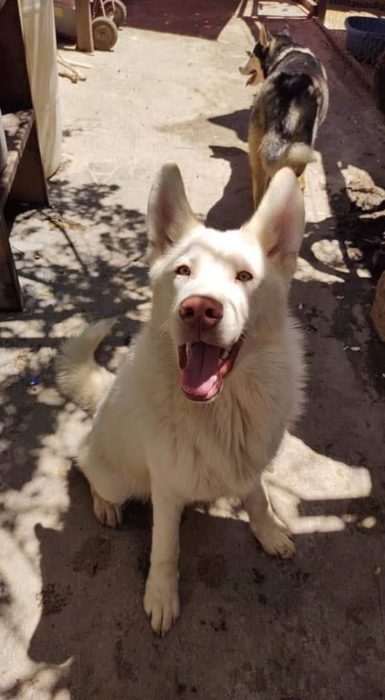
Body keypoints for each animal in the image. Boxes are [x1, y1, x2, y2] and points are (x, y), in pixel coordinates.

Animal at [55, 163, 304, 636]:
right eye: (183, 271)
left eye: (245, 277)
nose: (200, 310)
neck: (219, 410)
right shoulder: (166, 490)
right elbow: (165, 549)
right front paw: (161, 595)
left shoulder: (250, 465)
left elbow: (259, 500)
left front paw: (268, 532)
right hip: (115, 474)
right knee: (83, 463)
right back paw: (104, 503)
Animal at [240, 27, 328, 208]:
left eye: (252, 55)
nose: (239, 67)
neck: (286, 49)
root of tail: (290, 89)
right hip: (301, 148)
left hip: (258, 148)